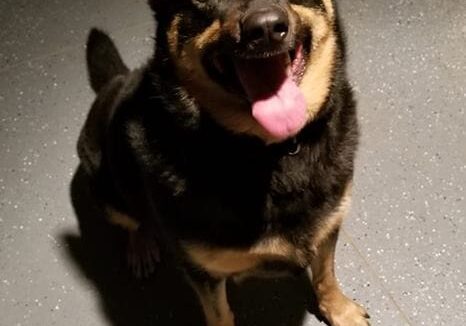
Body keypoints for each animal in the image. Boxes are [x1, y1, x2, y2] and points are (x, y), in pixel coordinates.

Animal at [78, 0, 370, 326]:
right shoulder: (204, 272)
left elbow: (325, 274)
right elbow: (219, 315)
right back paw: (141, 245)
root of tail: (114, 81)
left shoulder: (330, 223)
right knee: (132, 220)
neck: (272, 150)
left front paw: (339, 310)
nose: (266, 29)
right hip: (106, 193)